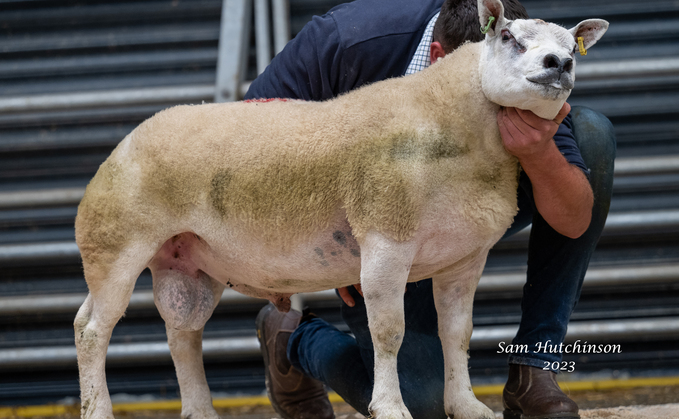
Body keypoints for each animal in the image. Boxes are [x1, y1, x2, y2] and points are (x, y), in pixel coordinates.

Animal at [74, 0, 612, 419]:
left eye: (572, 47)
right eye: (508, 37)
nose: (558, 64)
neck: (452, 125)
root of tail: (125, 144)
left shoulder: (465, 256)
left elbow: (457, 334)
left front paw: (466, 405)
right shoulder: (385, 238)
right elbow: (389, 333)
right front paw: (391, 407)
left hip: (185, 261)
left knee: (183, 335)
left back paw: (201, 410)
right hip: (115, 243)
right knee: (91, 330)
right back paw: (98, 408)